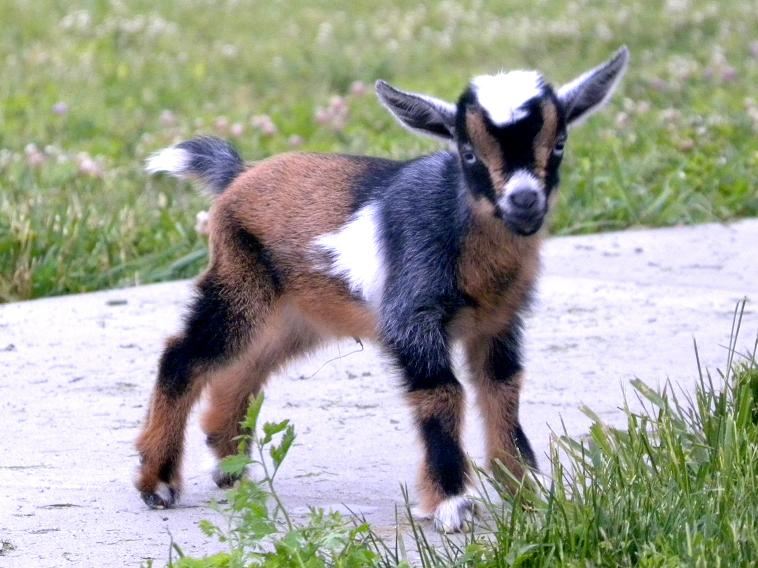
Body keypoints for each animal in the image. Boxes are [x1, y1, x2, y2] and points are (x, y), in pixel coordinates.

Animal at [136, 47, 629, 533]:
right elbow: (442, 393)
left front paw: (527, 491)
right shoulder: (411, 316)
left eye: (559, 143)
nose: (524, 201)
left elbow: (502, 390)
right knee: (184, 356)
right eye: (468, 152)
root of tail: (238, 176)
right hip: (239, 282)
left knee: (246, 366)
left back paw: (228, 465)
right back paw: (158, 483)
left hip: (297, 313)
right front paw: (451, 502)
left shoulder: (499, 322)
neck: (458, 220)